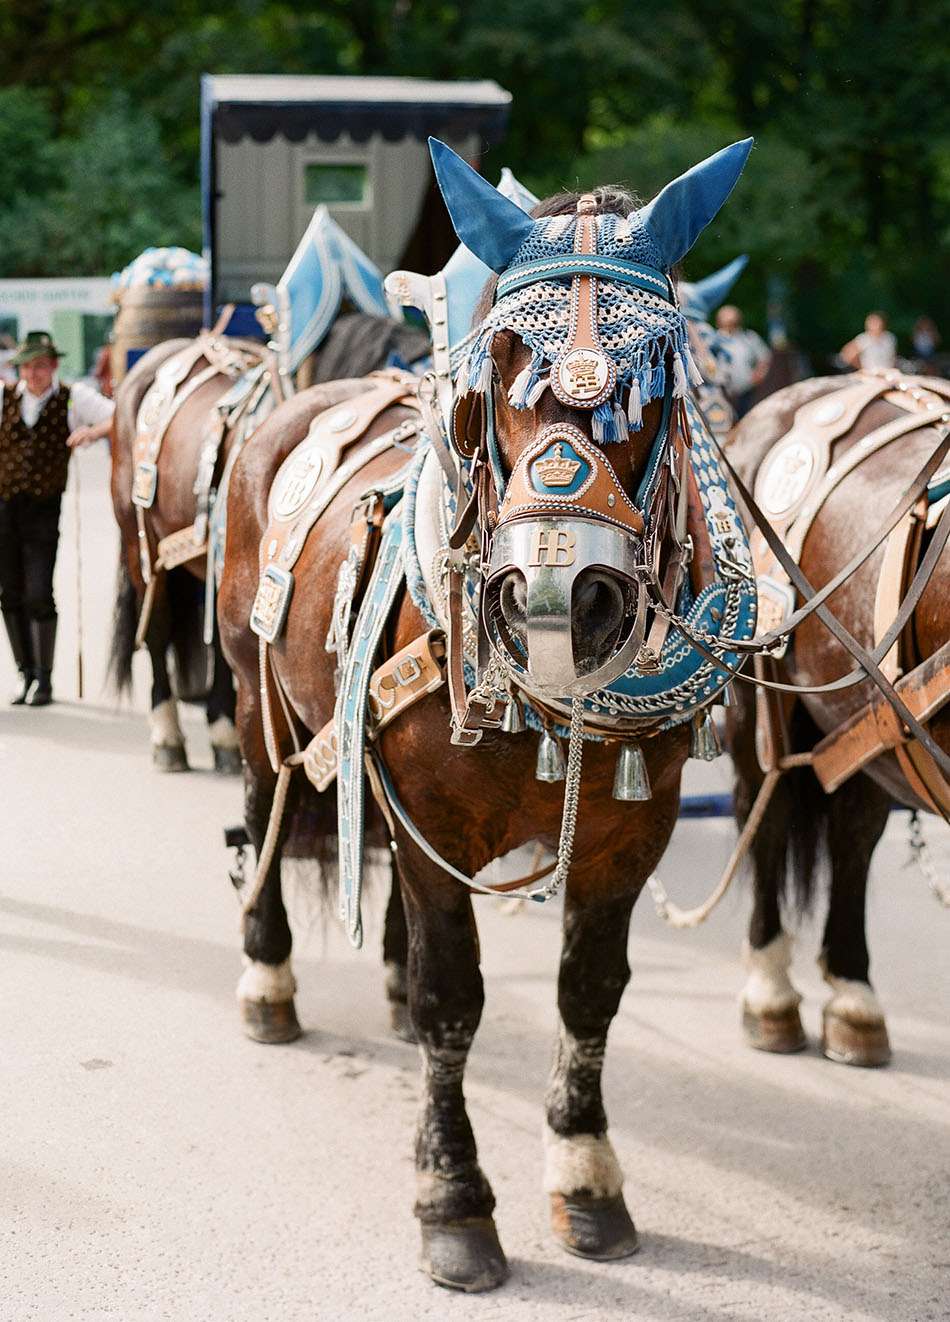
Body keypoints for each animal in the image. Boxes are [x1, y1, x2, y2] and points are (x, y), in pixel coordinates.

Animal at [218, 134, 755, 1290]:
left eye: (655, 379)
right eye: (500, 370)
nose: (560, 594)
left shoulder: (629, 834)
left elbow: (587, 992)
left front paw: (587, 1178)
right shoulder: (435, 820)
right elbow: (451, 999)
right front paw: (453, 1200)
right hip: (252, 693)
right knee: (267, 808)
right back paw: (268, 977)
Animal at [729, 370, 950, 1062]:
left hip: (874, 723)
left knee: (855, 829)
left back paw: (854, 995)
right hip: (758, 702)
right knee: (766, 811)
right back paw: (769, 992)